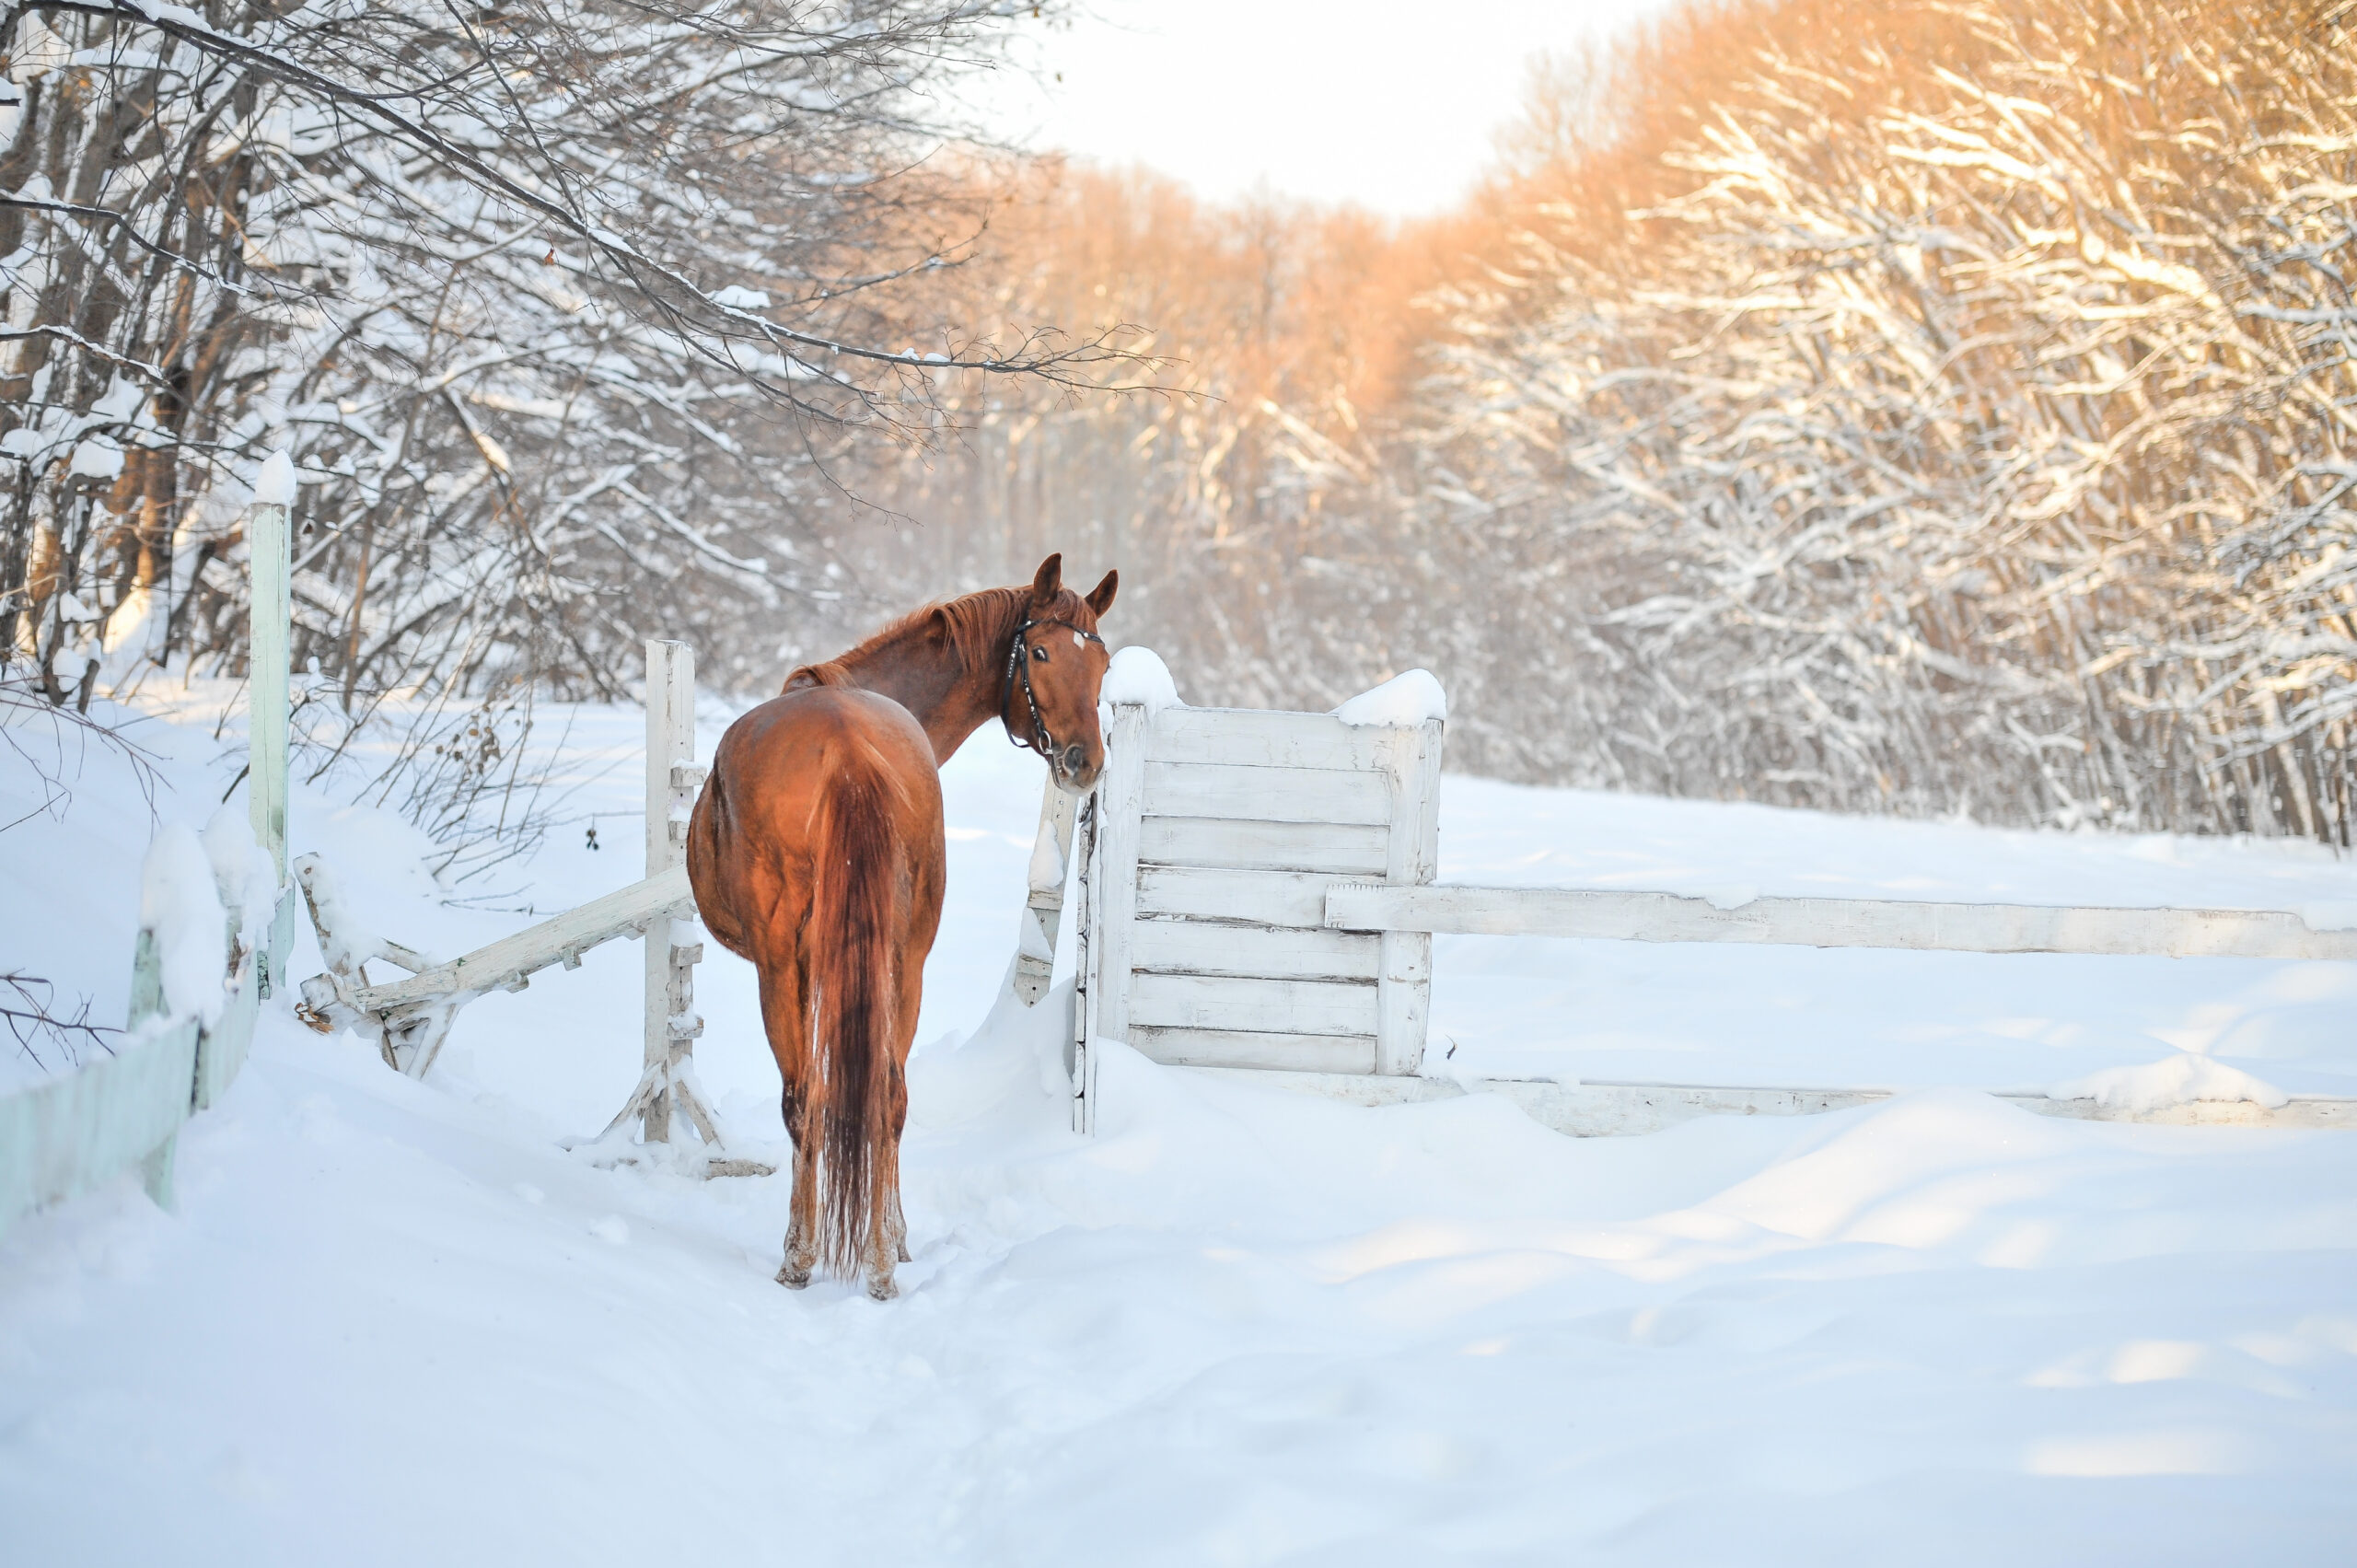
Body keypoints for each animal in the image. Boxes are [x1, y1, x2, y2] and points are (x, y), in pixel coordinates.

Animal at [686, 554, 1117, 1300]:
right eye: (1039, 652)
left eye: (1103, 662)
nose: (1084, 761)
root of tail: (846, 750)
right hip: (904, 961)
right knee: (889, 1095)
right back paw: (883, 1259)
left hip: (783, 969)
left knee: (805, 1099)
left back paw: (802, 1255)